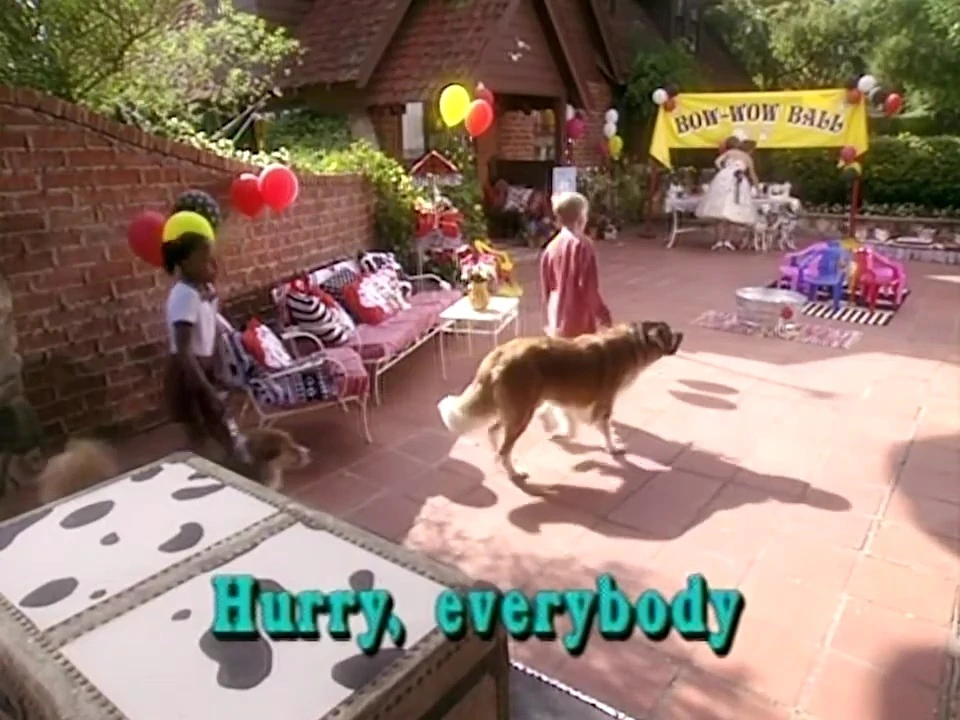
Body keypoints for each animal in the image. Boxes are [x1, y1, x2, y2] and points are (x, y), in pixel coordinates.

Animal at [437, 321, 684, 483]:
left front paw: (564, 435)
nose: (681, 333)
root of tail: (500, 353)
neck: (634, 342)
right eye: (670, 334)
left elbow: (568, 419)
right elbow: (604, 427)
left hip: (517, 409)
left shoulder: (566, 397)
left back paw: (499, 455)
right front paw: (613, 447)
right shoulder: (604, 402)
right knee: (505, 447)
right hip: (522, 412)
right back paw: (514, 472)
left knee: (494, 431)